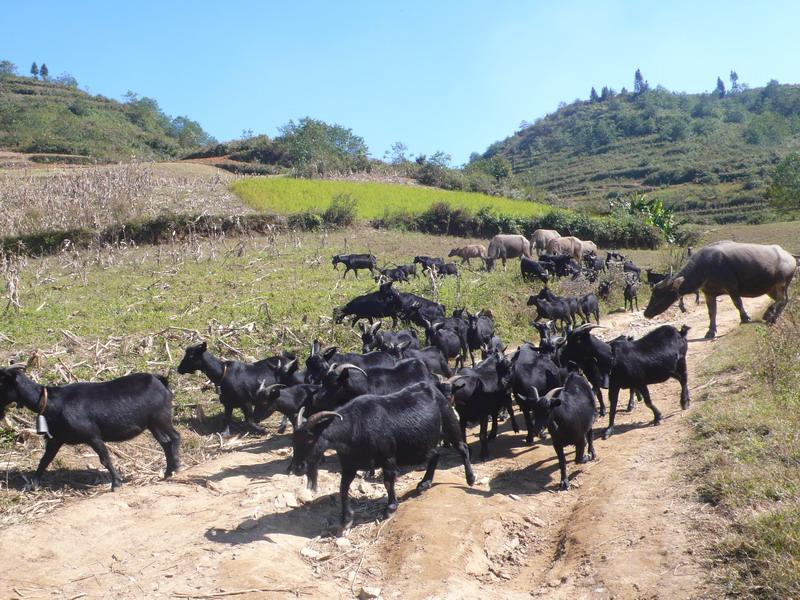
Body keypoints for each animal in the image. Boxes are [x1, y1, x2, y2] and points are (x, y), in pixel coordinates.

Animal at [0, 364, 180, 490]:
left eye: (1, 382)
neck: (53, 402)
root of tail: (159, 379)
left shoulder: (92, 435)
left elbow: (105, 458)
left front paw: (116, 483)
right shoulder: (56, 438)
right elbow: (45, 460)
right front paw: (32, 484)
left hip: (162, 417)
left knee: (175, 437)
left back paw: (177, 467)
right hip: (152, 424)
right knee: (165, 442)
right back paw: (167, 472)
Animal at [290, 382, 472, 532]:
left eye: (310, 438)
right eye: (294, 439)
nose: (297, 468)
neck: (354, 427)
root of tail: (435, 390)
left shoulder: (388, 458)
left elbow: (388, 481)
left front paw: (390, 508)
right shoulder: (349, 465)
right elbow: (343, 489)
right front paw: (346, 520)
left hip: (450, 425)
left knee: (462, 448)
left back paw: (470, 479)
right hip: (421, 446)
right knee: (435, 454)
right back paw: (424, 483)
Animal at [648, 241, 796, 340]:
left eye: (658, 294)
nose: (646, 313)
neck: (705, 266)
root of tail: (791, 258)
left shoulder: (732, 287)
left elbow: (738, 303)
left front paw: (745, 318)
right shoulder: (708, 293)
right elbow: (712, 312)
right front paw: (710, 332)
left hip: (781, 283)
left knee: (782, 299)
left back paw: (768, 314)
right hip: (771, 289)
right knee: (784, 300)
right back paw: (772, 318)